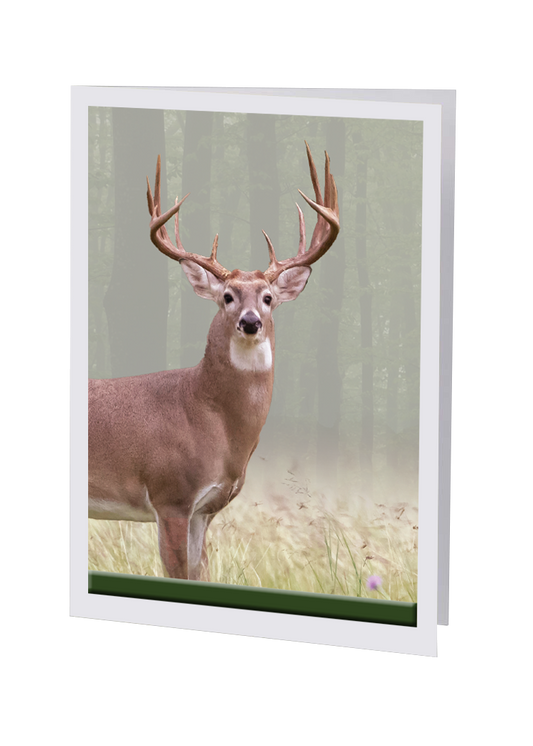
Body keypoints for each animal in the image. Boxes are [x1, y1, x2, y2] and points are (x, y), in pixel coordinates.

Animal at [88, 142, 339, 581]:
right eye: (227, 296)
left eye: (268, 297)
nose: (250, 321)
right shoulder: (170, 494)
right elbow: (177, 572)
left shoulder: (203, 509)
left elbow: (199, 572)